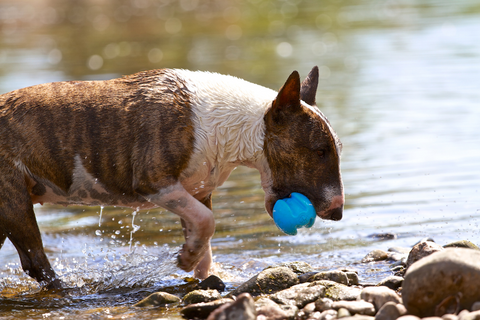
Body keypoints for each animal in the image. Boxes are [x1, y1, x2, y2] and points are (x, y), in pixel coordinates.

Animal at [0, 66, 344, 288]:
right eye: (320, 151)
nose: (338, 212)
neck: (239, 125)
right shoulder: (155, 183)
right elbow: (207, 221)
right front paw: (186, 259)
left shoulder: (198, 190)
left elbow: (204, 232)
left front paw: (206, 272)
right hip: (14, 202)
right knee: (36, 261)